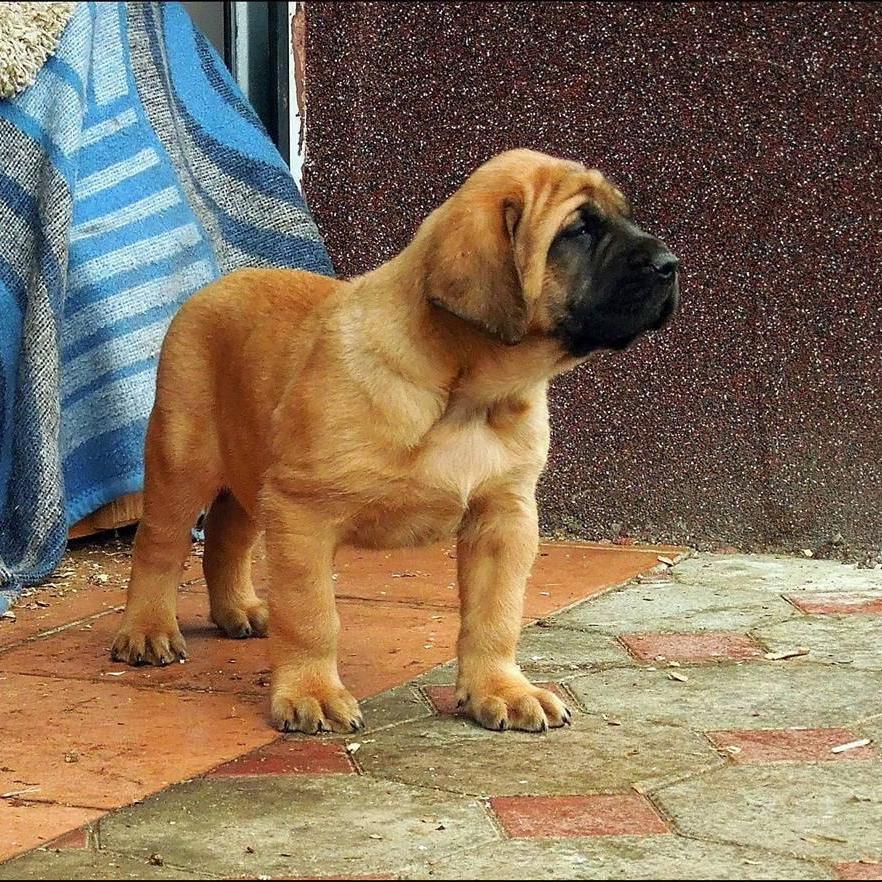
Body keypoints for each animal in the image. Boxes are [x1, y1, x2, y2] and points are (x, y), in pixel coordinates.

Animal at [108, 148, 672, 732]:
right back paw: (147, 630)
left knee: (226, 534)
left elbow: (496, 614)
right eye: (579, 230)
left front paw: (501, 690)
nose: (671, 263)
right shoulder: (302, 512)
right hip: (184, 456)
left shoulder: (503, 517)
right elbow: (311, 615)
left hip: (250, 463)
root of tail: (215, 284)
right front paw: (312, 693)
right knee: (160, 545)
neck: (470, 395)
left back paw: (238, 609)